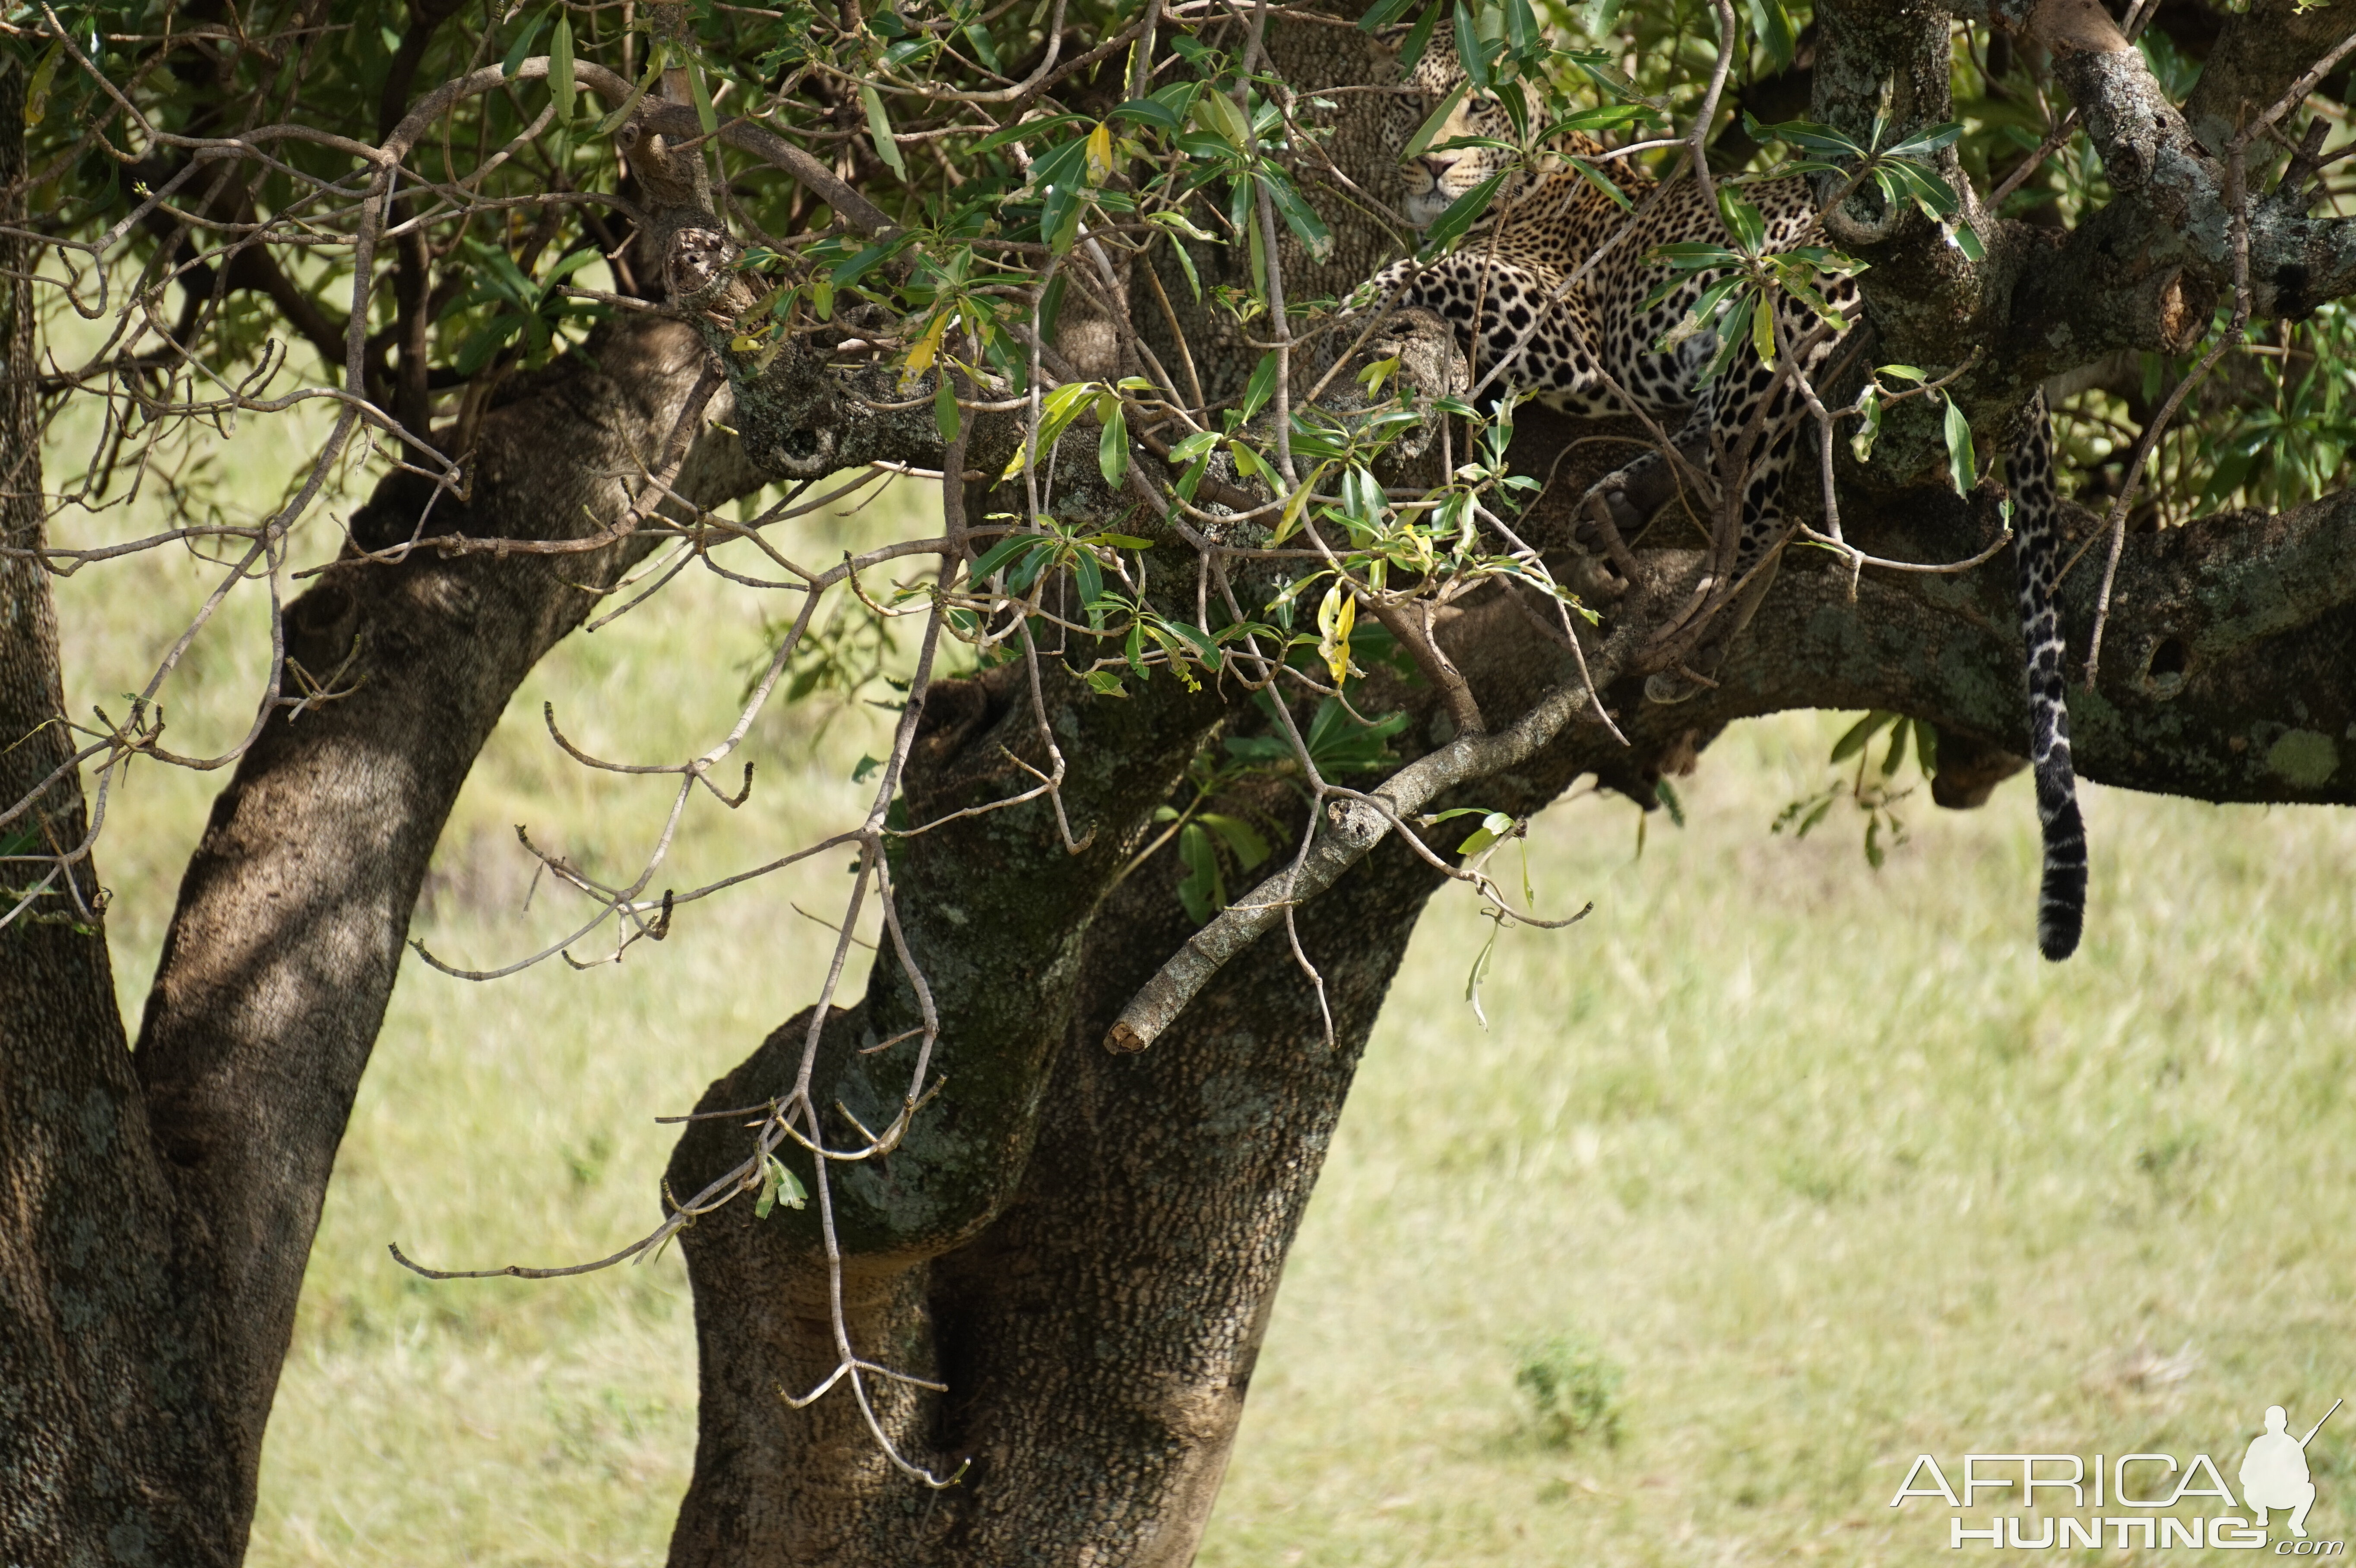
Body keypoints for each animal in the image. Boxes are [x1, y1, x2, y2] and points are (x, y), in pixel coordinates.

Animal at [1357, 36, 2092, 961]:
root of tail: (1987, 264)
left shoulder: (1564, 331)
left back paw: (1692, 646)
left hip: (1775, 312)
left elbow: (1434, 266)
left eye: (1480, 106)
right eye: (1408, 102)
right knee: (1728, 468)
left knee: (1764, 512)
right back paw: (1627, 506)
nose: (1431, 161)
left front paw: (1360, 292)